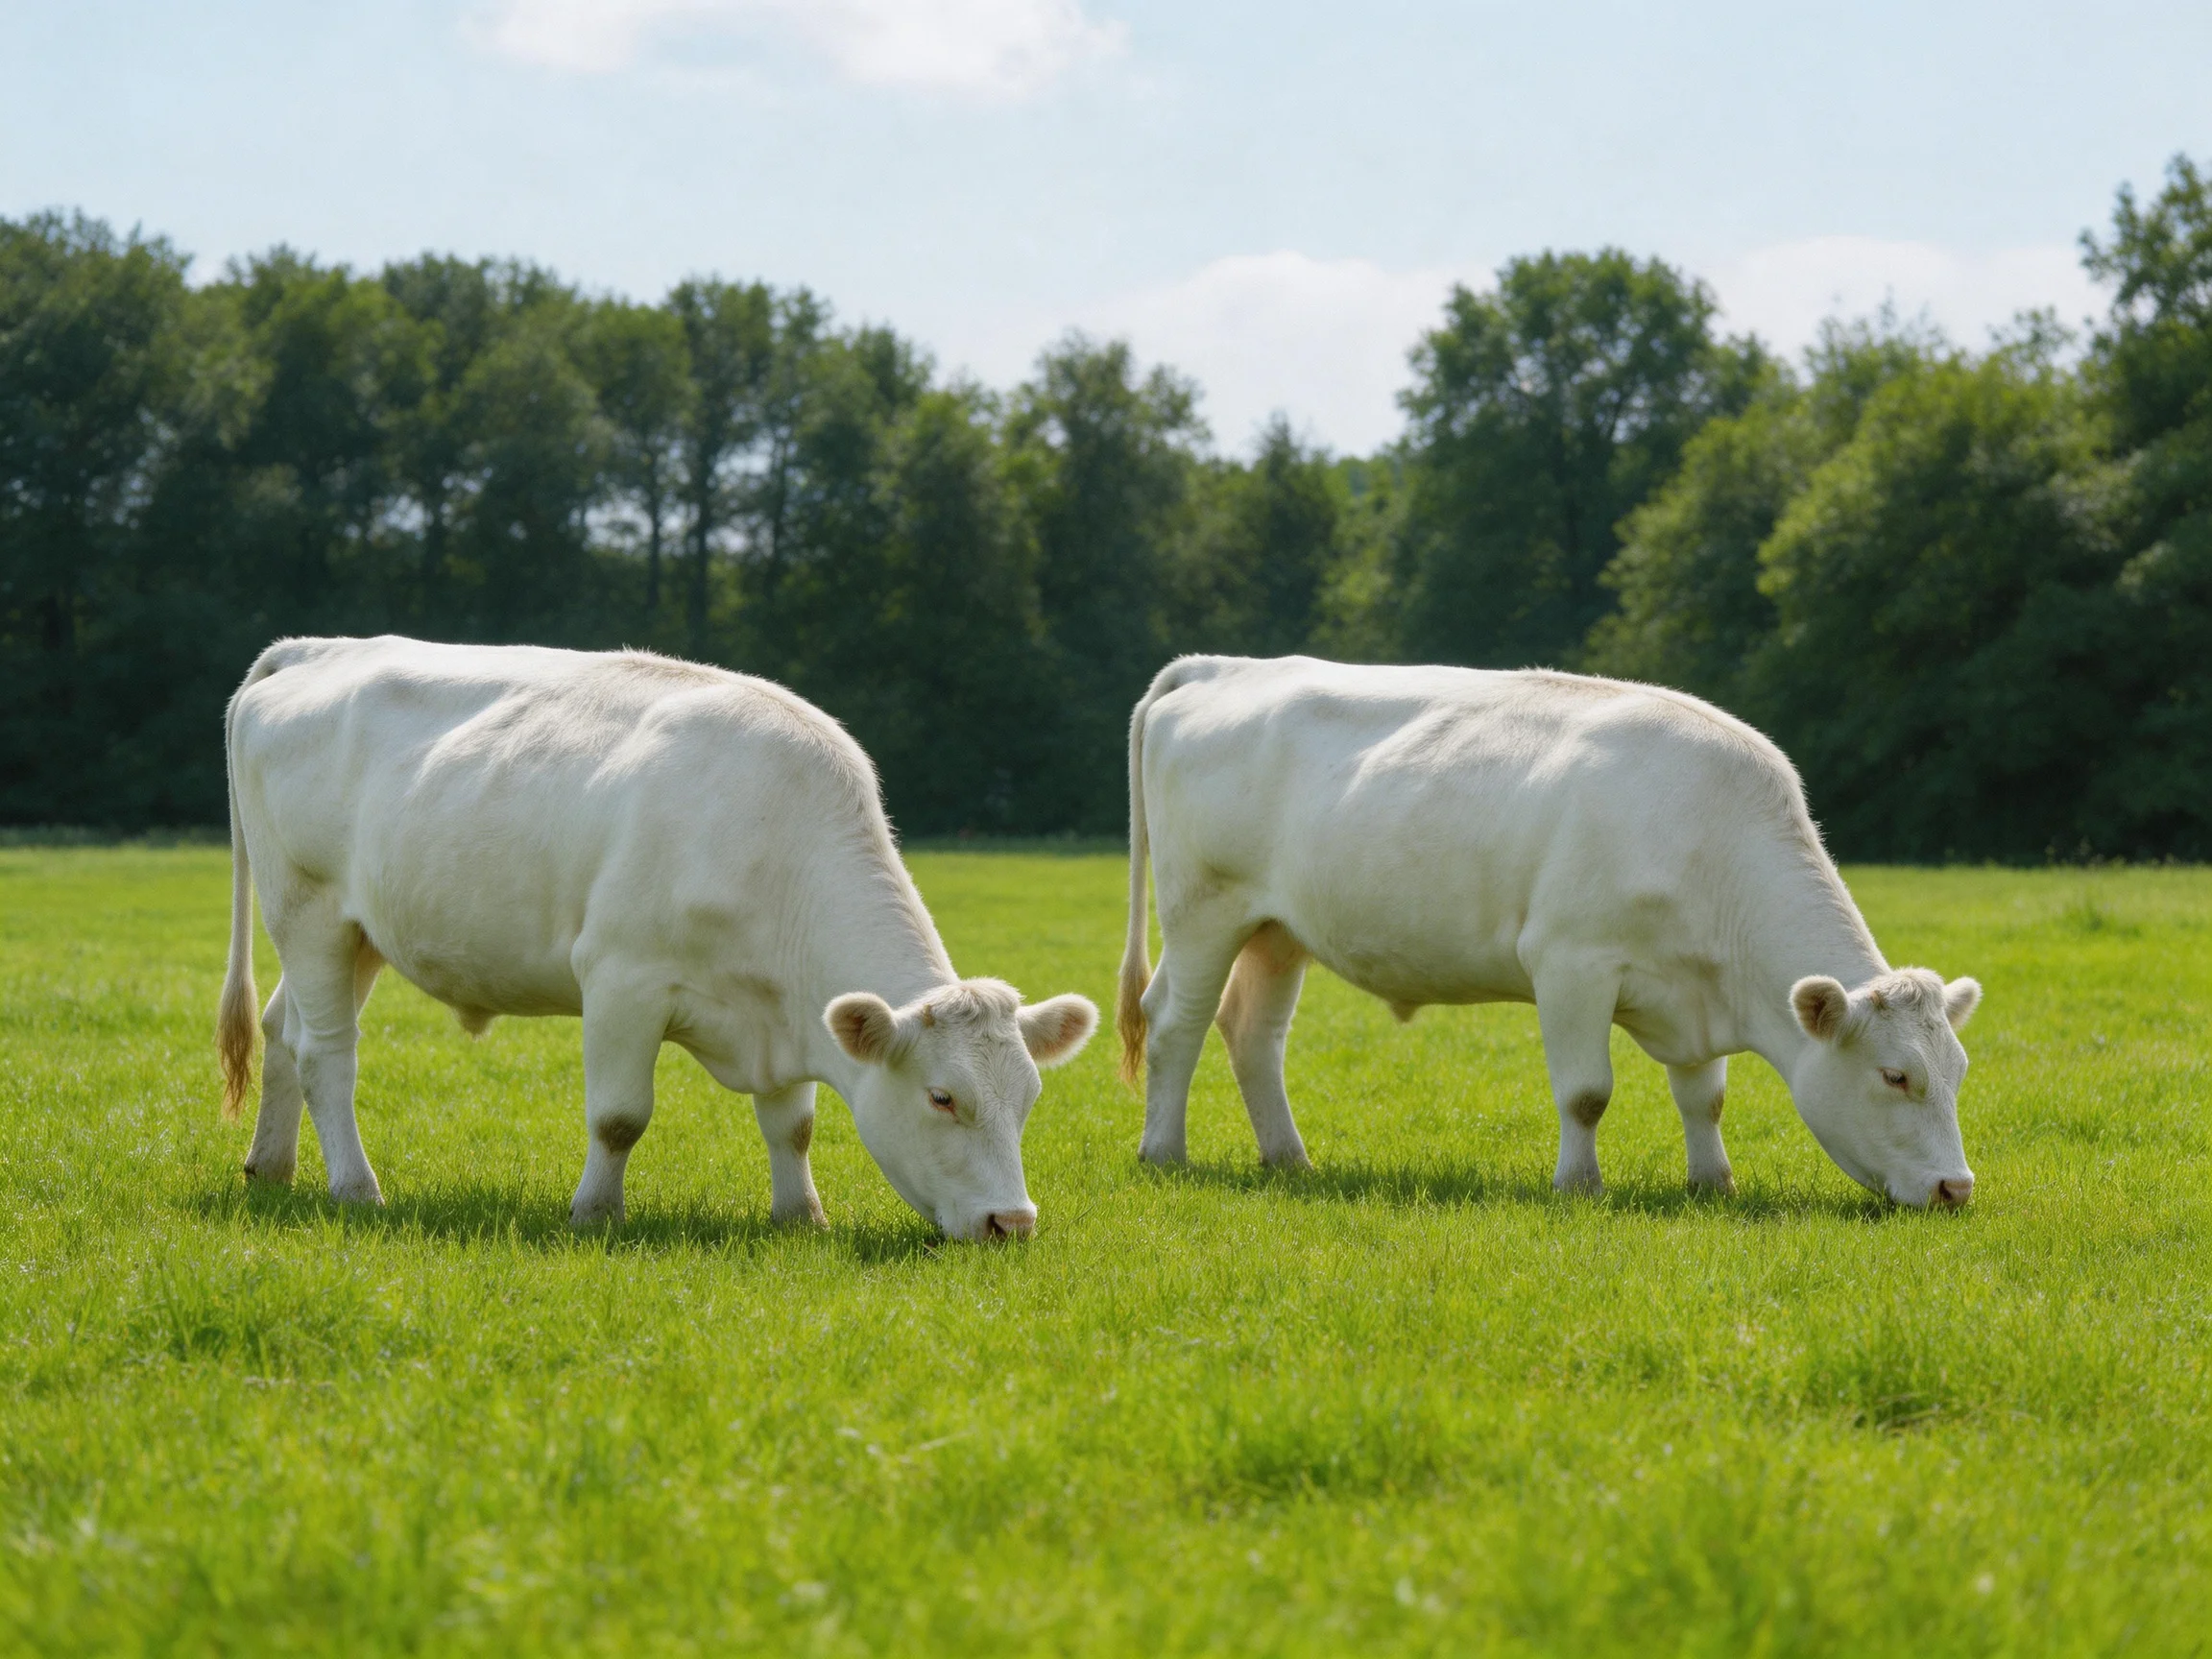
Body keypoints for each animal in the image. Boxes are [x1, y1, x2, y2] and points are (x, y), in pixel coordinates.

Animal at [216, 636, 1097, 1241]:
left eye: (1030, 1097)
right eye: (942, 1097)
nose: (1012, 1223)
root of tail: (321, 647)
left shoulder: (788, 1013)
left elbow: (792, 1125)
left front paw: (800, 1215)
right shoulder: (620, 981)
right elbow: (619, 1117)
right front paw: (594, 1213)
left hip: (358, 930)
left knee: (283, 1030)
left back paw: (271, 1168)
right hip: (307, 908)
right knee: (327, 1052)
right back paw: (356, 1189)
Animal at [1116, 655, 1983, 1209]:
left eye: (1958, 1072)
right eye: (1896, 1076)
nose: (1956, 1188)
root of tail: (1222, 665)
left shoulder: (1691, 993)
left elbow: (1703, 1097)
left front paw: (1712, 1182)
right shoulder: (1571, 964)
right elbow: (1586, 1093)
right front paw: (1579, 1187)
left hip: (1275, 928)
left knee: (1253, 1033)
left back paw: (1290, 1161)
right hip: (1202, 909)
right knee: (1174, 1023)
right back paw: (1163, 1153)